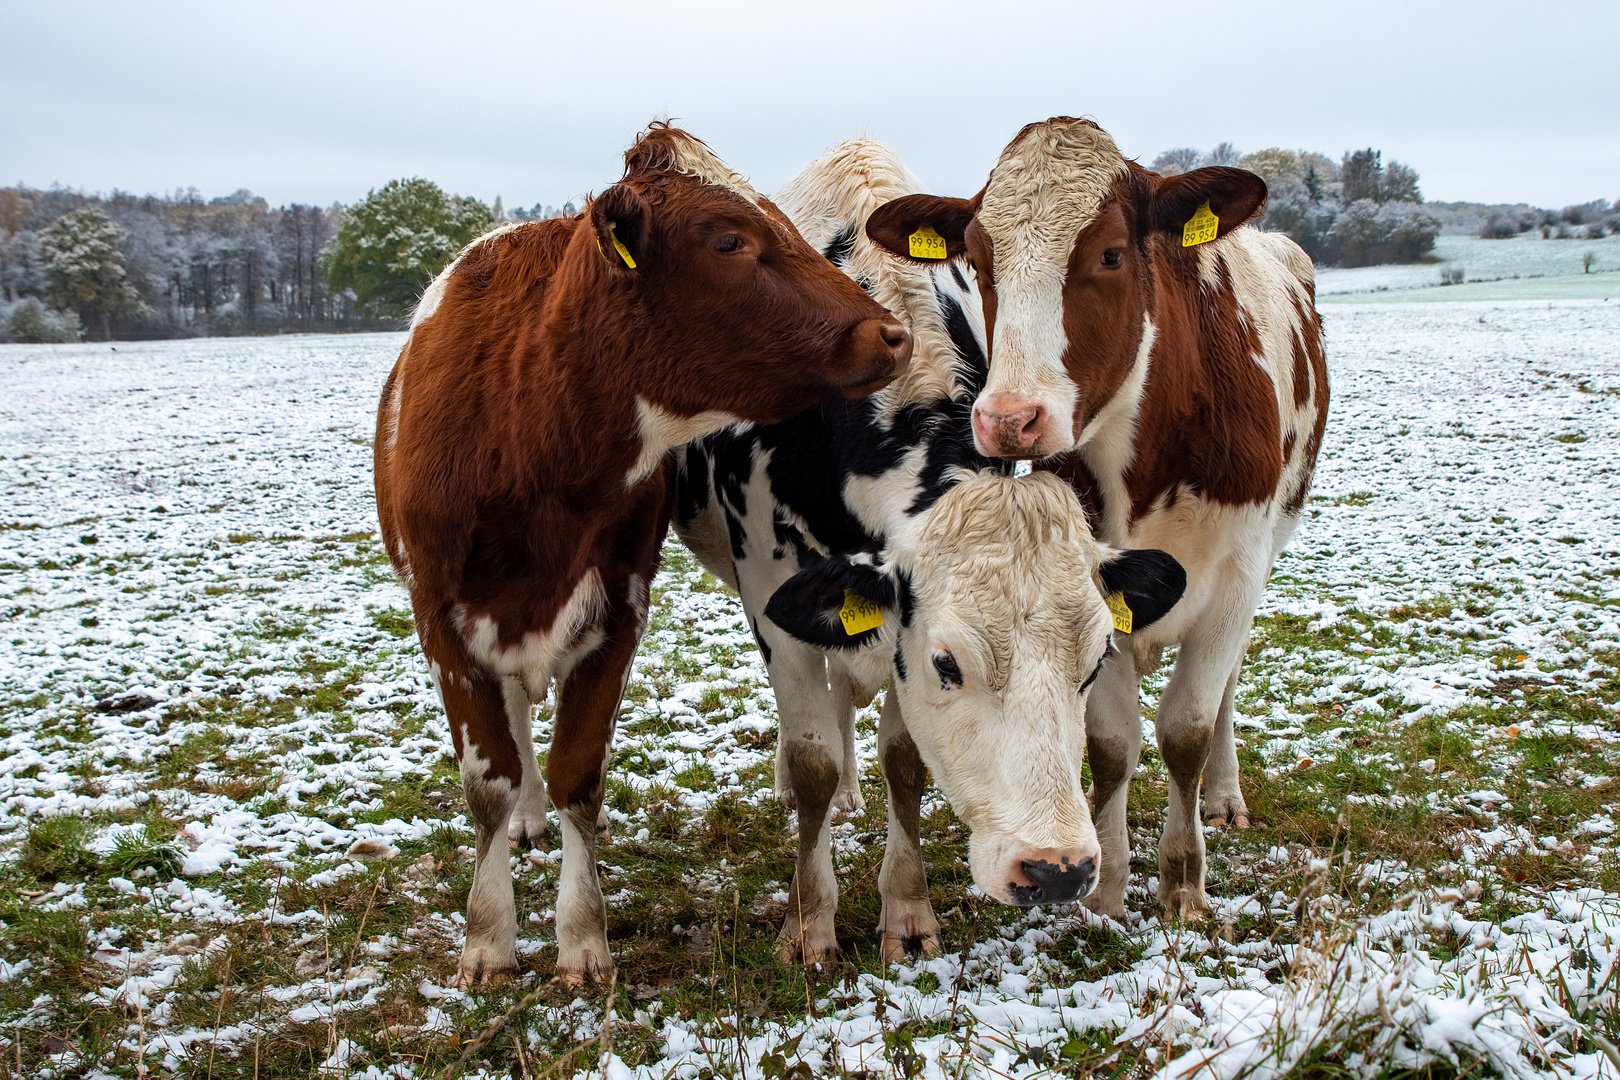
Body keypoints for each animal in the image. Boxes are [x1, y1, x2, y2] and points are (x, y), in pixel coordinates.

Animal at [375, 122, 913, 984]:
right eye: (729, 240)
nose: (891, 334)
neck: (529, 444)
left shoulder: (620, 610)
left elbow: (579, 774)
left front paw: (581, 940)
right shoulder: (441, 619)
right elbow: (490, 780)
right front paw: (488, 939)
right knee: (517, 725)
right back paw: (526, 823)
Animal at [673, 137, 1192, 965]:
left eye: (1093, 663)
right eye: (950, 663)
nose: (1058, 870)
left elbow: (905, 759)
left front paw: (907, 911)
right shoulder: (771, 591)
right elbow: (814, 760)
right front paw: (809, 923)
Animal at [874, 122, 1328, 926]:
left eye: (1111, 254)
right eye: (978, 261)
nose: (1007, 419)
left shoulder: (1237, 576)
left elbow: (1186, 728)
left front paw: (1183, 880)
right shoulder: (1098, 574)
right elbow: (1114, 742)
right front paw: (1113, 884)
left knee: (1227, 689)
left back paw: (1224, 794)